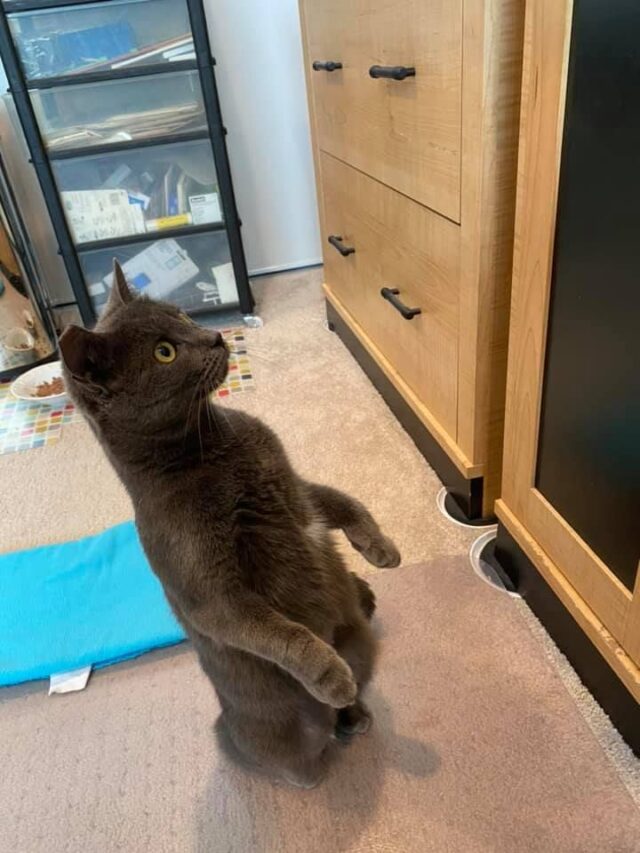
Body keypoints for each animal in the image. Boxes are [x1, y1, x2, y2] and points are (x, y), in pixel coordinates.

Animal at [61, 262, 400, 788]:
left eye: (181, 315)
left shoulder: (294, 488)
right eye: (165, 352)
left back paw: (354, 713)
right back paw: (323, 740)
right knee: (282, 754)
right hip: (273, 733)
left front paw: (380, 548)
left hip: (360, 640)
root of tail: (226, 719)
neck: (215, 449)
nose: (216, 335)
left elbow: (341, 502)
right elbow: (280, 634)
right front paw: (329, 675)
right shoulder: (214, 597)